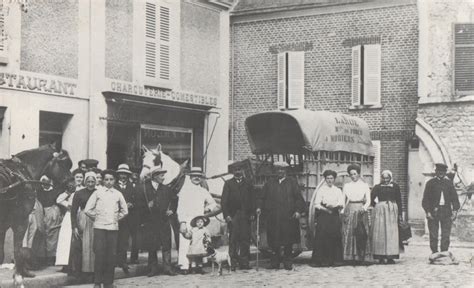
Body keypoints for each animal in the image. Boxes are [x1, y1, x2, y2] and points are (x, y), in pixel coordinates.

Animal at [0, 143, 72, 276]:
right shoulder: (21, 221)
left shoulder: (4, 224)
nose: (73, 185)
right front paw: (20, 273)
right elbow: (17, 249)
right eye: (63, 164)